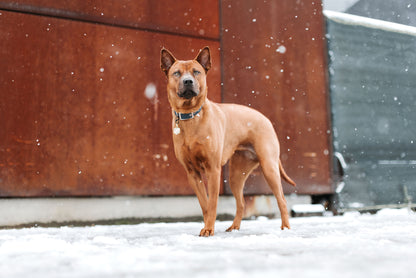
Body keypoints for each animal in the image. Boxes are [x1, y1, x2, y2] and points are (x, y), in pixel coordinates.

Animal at [160, 46, 296, 236]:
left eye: (196, 72)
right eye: (177, 73)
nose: (188, 81)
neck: (191, 116)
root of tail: (266, 119)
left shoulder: (213, 170)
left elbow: (212, 203)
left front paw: (209, 229)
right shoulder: (193, 173)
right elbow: (205, 205)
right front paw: (206, 227)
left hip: (269, 167)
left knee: (282, 199)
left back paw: (286, 228)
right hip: (236, 175)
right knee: (241, 203)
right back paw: (234, 227)